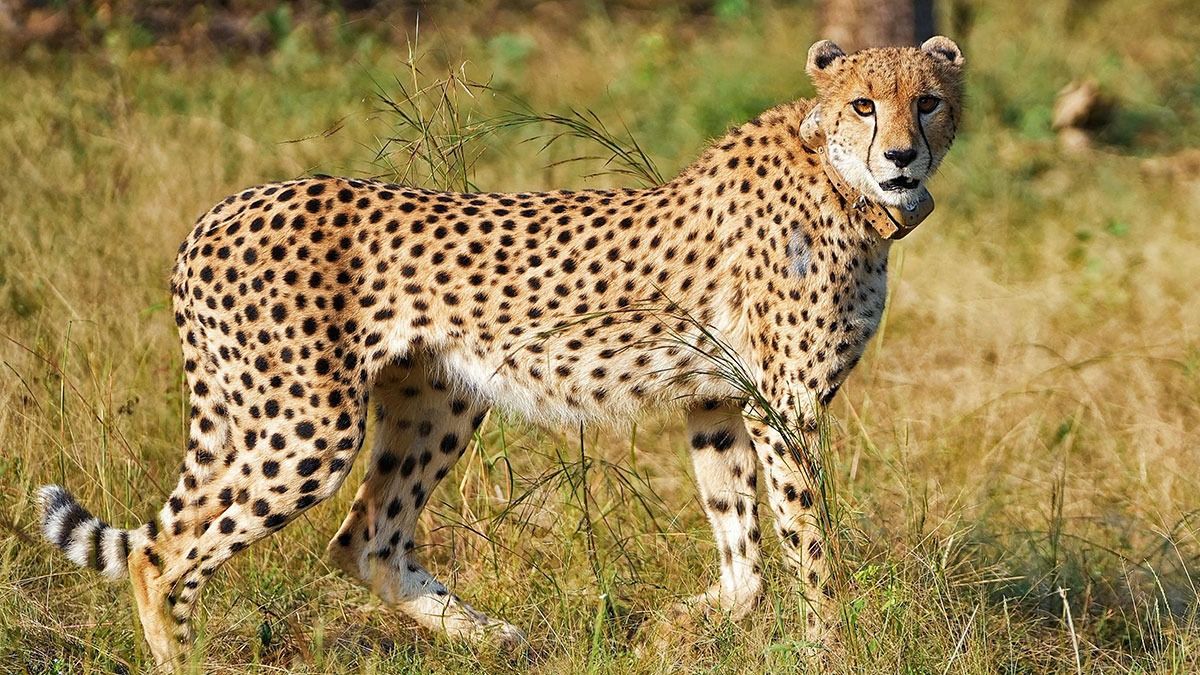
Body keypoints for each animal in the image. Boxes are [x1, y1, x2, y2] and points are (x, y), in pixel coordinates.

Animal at [37, 36, 964, 670]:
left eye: (927, 102)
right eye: (864, 105)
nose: (902, 154)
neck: (843, 183)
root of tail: (221, 209)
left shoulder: (718, 400)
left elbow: (746, 559)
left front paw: (675, 625)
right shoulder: (784, 407)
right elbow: (810, 546)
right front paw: (829, 648)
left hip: (437, 398)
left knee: (365, 538)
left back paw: (493, 635)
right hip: (307, 426)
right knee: (164, 554)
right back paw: (185, 657)